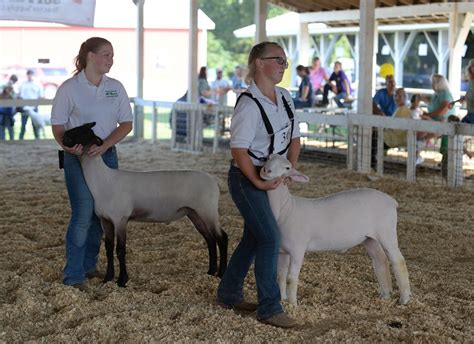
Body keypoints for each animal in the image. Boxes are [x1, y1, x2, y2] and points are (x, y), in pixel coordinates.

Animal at [79, 152, 228, 286]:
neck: (104, 181)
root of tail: (213, 179)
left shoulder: (120, 218)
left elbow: (120, 250)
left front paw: (122, 281)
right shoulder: (105, 220)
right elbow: (109, 248)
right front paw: (107, 279)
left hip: (207, 210)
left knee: (221, 238)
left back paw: (221, 273)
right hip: (195, 213)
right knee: (210, 239)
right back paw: (211, 272)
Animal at [260, 155, 412, 306]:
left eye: (287, 168)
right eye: (267, 158)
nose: (266, 170)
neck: (286, 209)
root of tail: (391, 200)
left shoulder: (298, 248)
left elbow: (291, 278)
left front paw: (293, 305)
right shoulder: (283, 251)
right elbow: (280, 275)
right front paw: (283, 299)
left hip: (386, 231)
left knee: (398, 261)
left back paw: (404, 299)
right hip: (370, 238)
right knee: (380, 260)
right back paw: (385, 295)